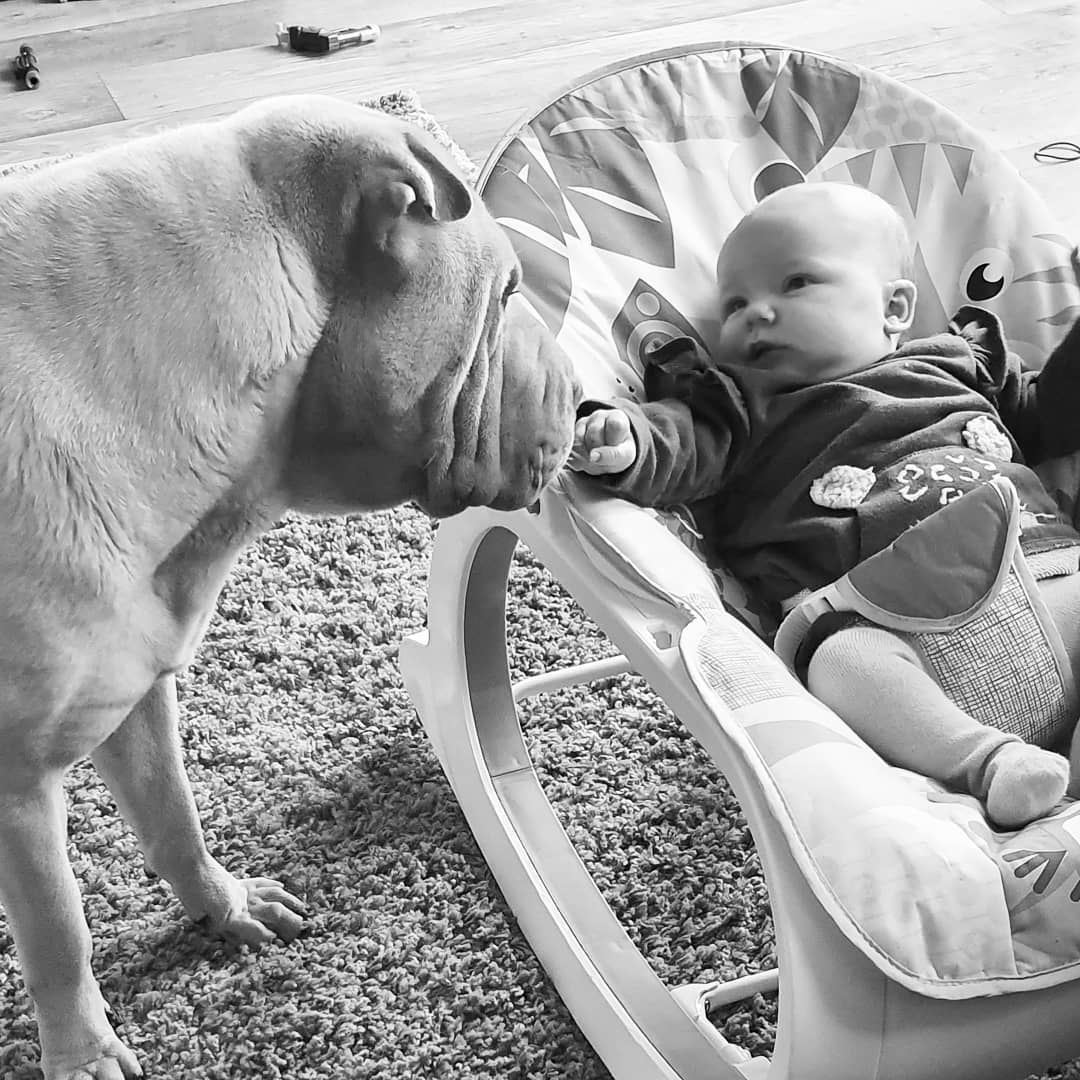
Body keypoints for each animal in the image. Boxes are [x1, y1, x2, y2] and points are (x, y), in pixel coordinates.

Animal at [0, 95, 577, 1080]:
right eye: (505, 296)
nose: (588, 395)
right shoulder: (17, 787)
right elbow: (58, 930)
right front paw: (81, 1053)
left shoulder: (137, 688)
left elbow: (173, 817)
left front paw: (223, 906)